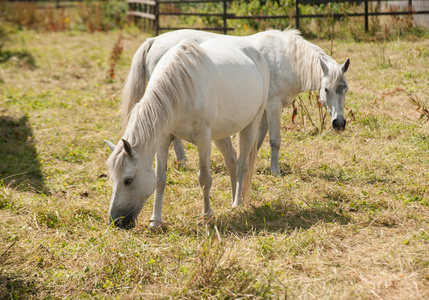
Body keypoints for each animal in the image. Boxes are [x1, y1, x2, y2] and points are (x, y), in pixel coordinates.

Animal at [105, 38, 270, 229]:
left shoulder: (203, 138)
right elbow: (160, 180)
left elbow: (205, 178)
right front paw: (155, 221)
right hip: (221, 134)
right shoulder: (163, 139)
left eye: (128, 180)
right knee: (231, 162)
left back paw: (237, 203)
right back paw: (233, 199)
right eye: (112, 178)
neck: (181, 90)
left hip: (250, 126)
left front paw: (207, 214)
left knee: (243, 164)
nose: (116, 221)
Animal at [122, 29, 350, 175]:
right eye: (326, 89)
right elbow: (274, 140)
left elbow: (258, 139)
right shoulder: (273, 105)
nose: (339, 123)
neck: (286, 59)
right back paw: (183, 162)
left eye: (345, 88)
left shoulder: (262, 109)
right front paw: (274, 171)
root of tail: (154, 40)